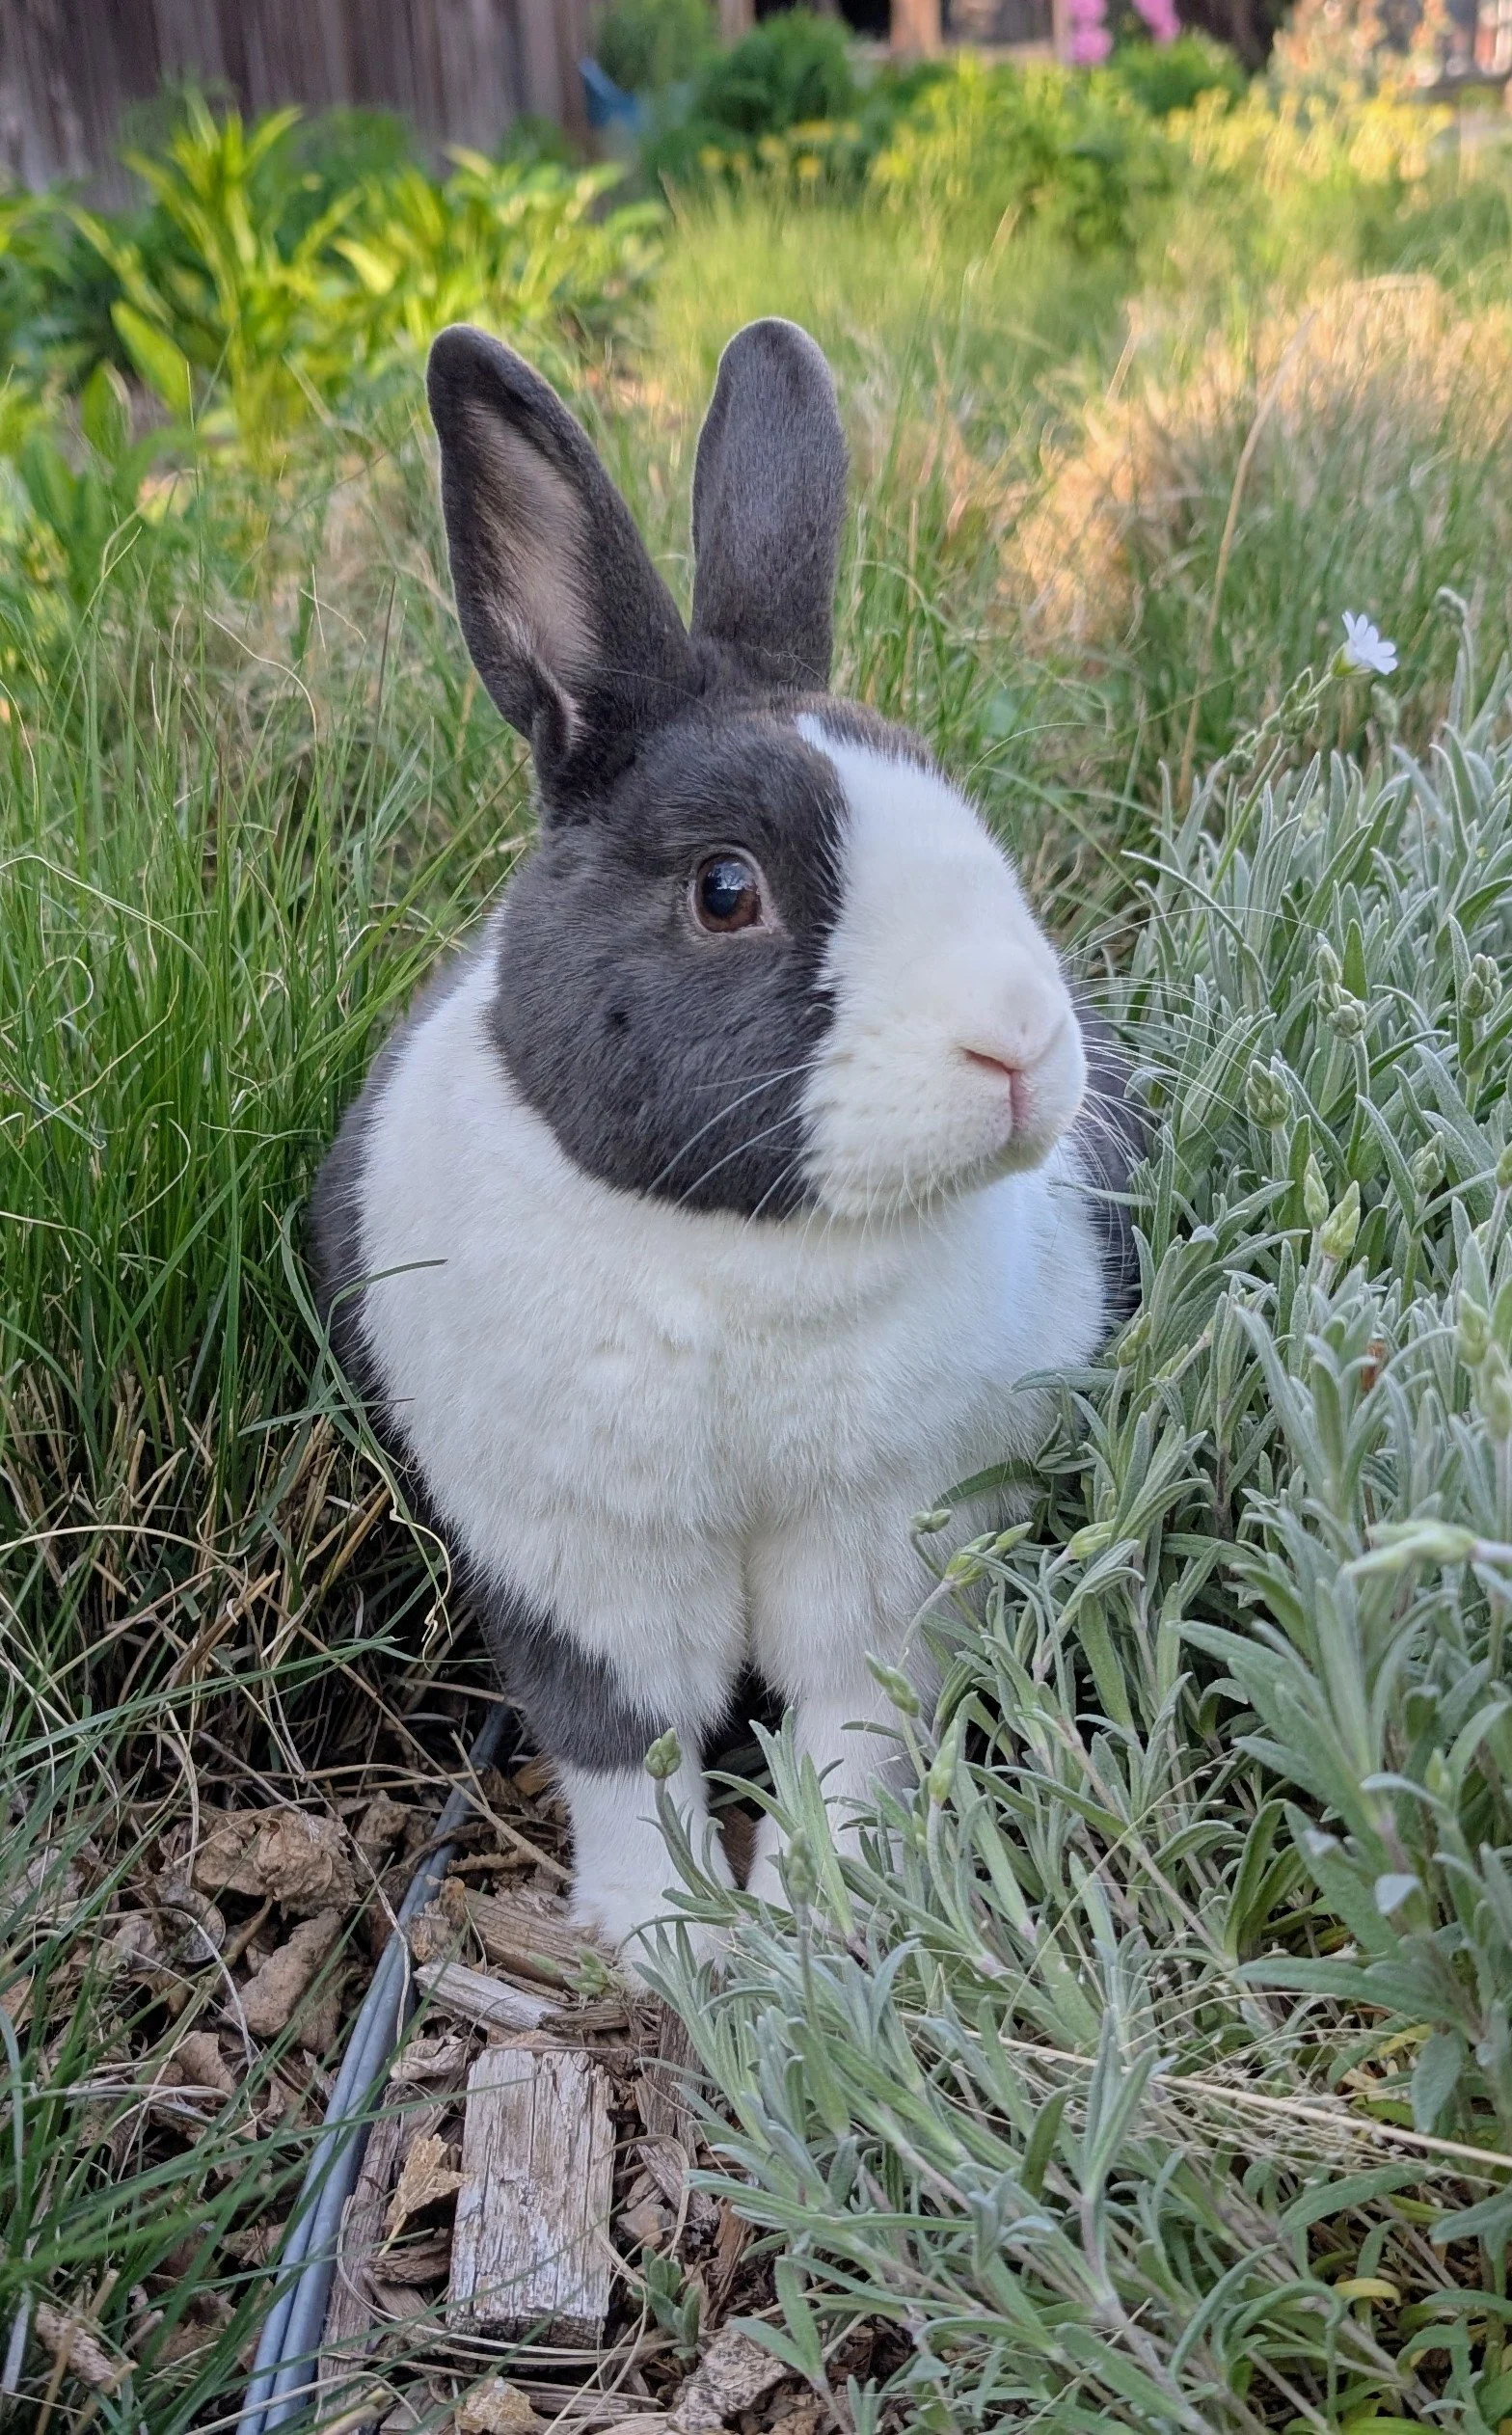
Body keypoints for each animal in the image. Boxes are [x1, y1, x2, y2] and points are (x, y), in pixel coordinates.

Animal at [312, 316, 1141, 1969]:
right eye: (723, 888)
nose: (1019, 1047)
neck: (745, 1249)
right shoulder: (568, 1560)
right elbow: (624, 1743)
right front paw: (663, 1939)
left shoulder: (895, 1544)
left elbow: (847, 1724)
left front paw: (818, 1917)